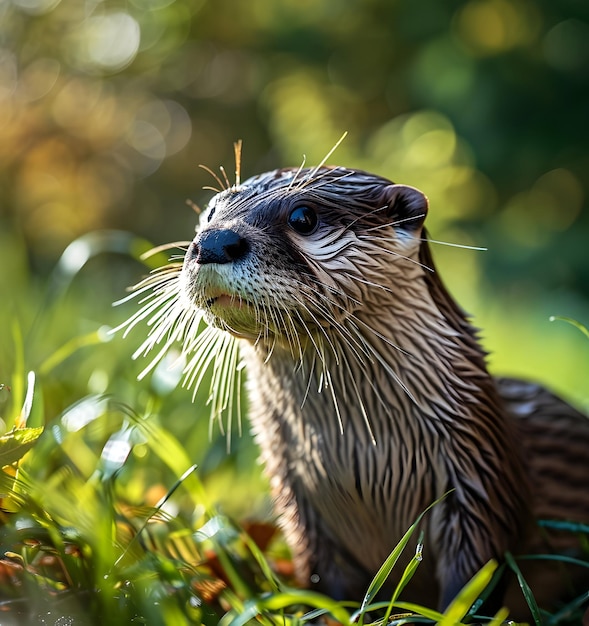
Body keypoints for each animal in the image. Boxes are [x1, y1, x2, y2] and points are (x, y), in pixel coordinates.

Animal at [124, 163, 588, 616]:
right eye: (209, 212)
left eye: (303, 217)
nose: (213, 241)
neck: (362, 456)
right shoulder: (299, 504)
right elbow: (325, 589)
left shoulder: (480, 483)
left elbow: (472, 589)